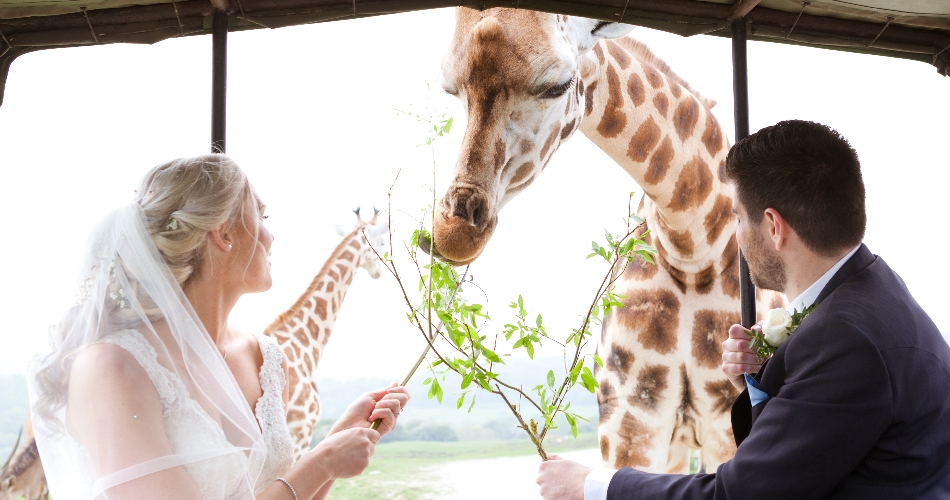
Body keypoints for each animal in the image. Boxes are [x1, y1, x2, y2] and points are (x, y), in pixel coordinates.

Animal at [436, 8, 784, 472]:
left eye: (559, 84)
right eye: (450, 87)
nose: (453, 234)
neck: (695, 247)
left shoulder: (726, 423)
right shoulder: (629, 421)